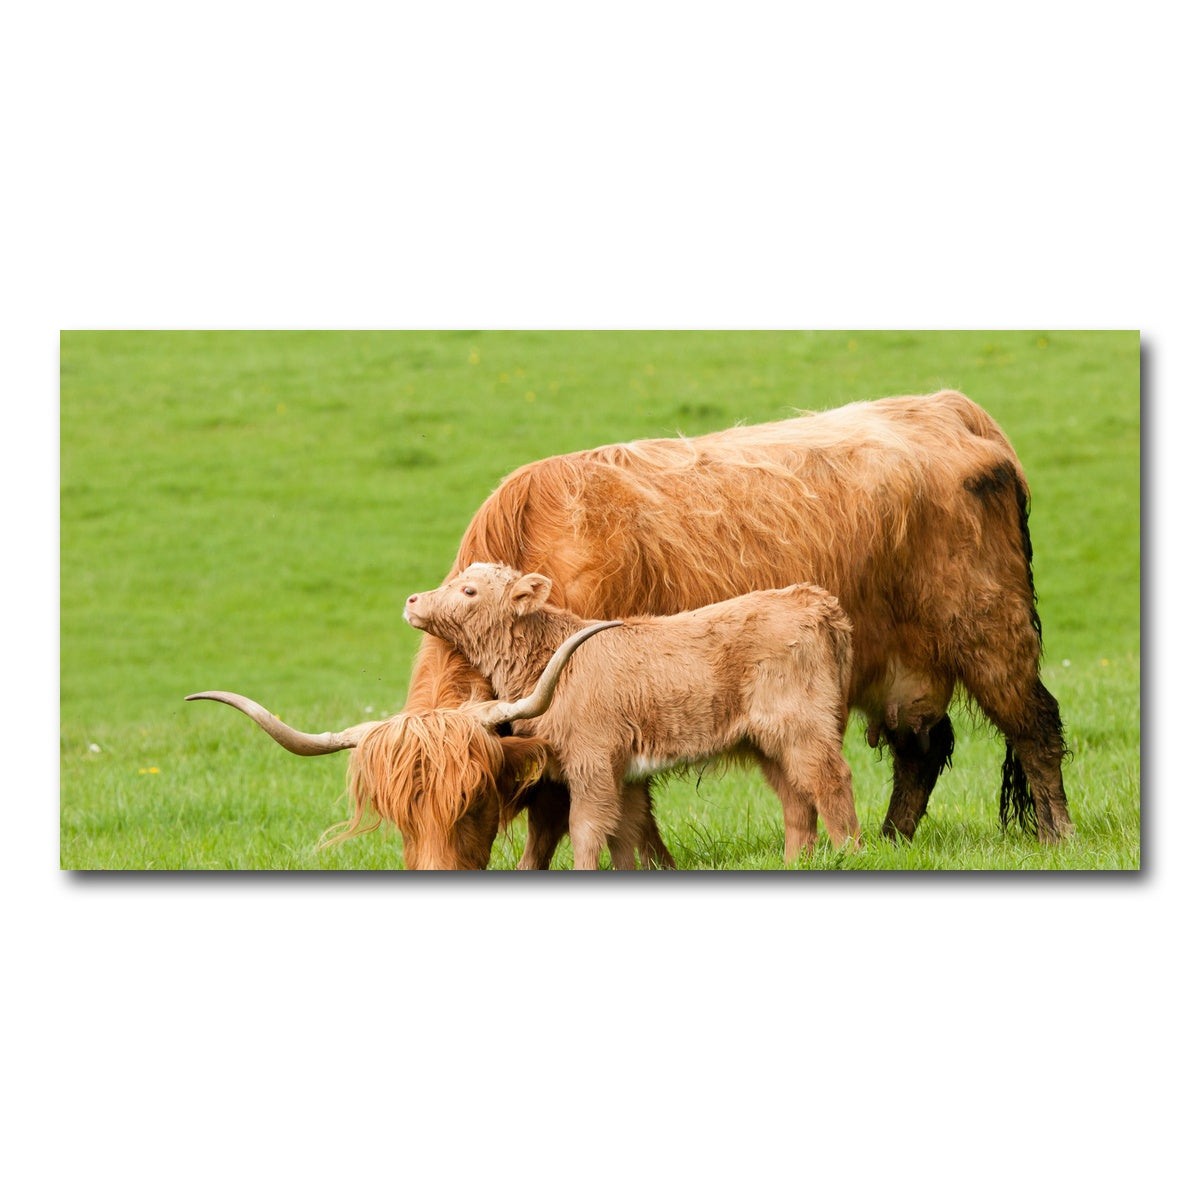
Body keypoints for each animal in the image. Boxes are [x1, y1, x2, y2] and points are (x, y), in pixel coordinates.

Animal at [399, 564, 859, 868]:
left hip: (804, 726)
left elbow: (586, 827)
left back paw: (850, 853)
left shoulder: (592, 762)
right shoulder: (626, 773)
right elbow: (625, 830)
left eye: (469, 591)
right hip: (769, 741)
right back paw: (796, 862)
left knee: (830, 781)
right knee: (796, 797)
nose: (412, 599)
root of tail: (814, 599)